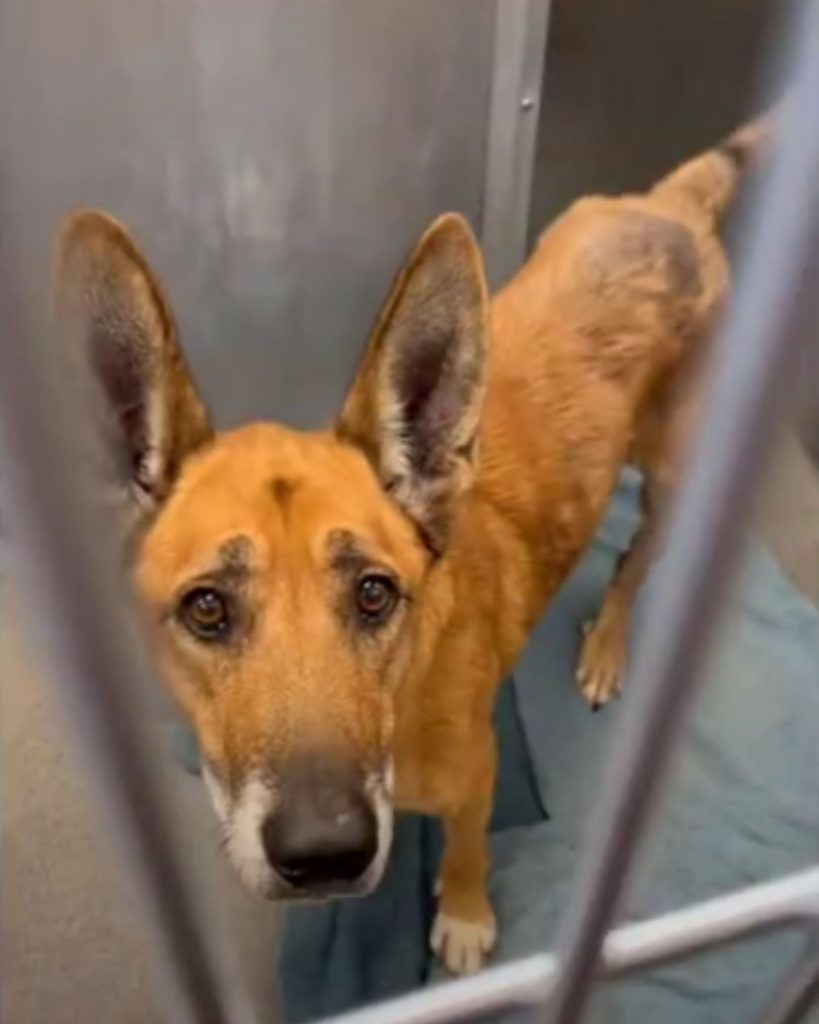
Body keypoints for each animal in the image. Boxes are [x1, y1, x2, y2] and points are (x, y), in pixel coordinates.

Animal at [52, 110, 773, 974]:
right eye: (205, 609)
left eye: (374, 593)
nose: (325, 854)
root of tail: (671, 208)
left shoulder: (477, 776)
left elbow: (468, 852)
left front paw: (462, 916)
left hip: (671, 477)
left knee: (634, 564)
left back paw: (606, 647)